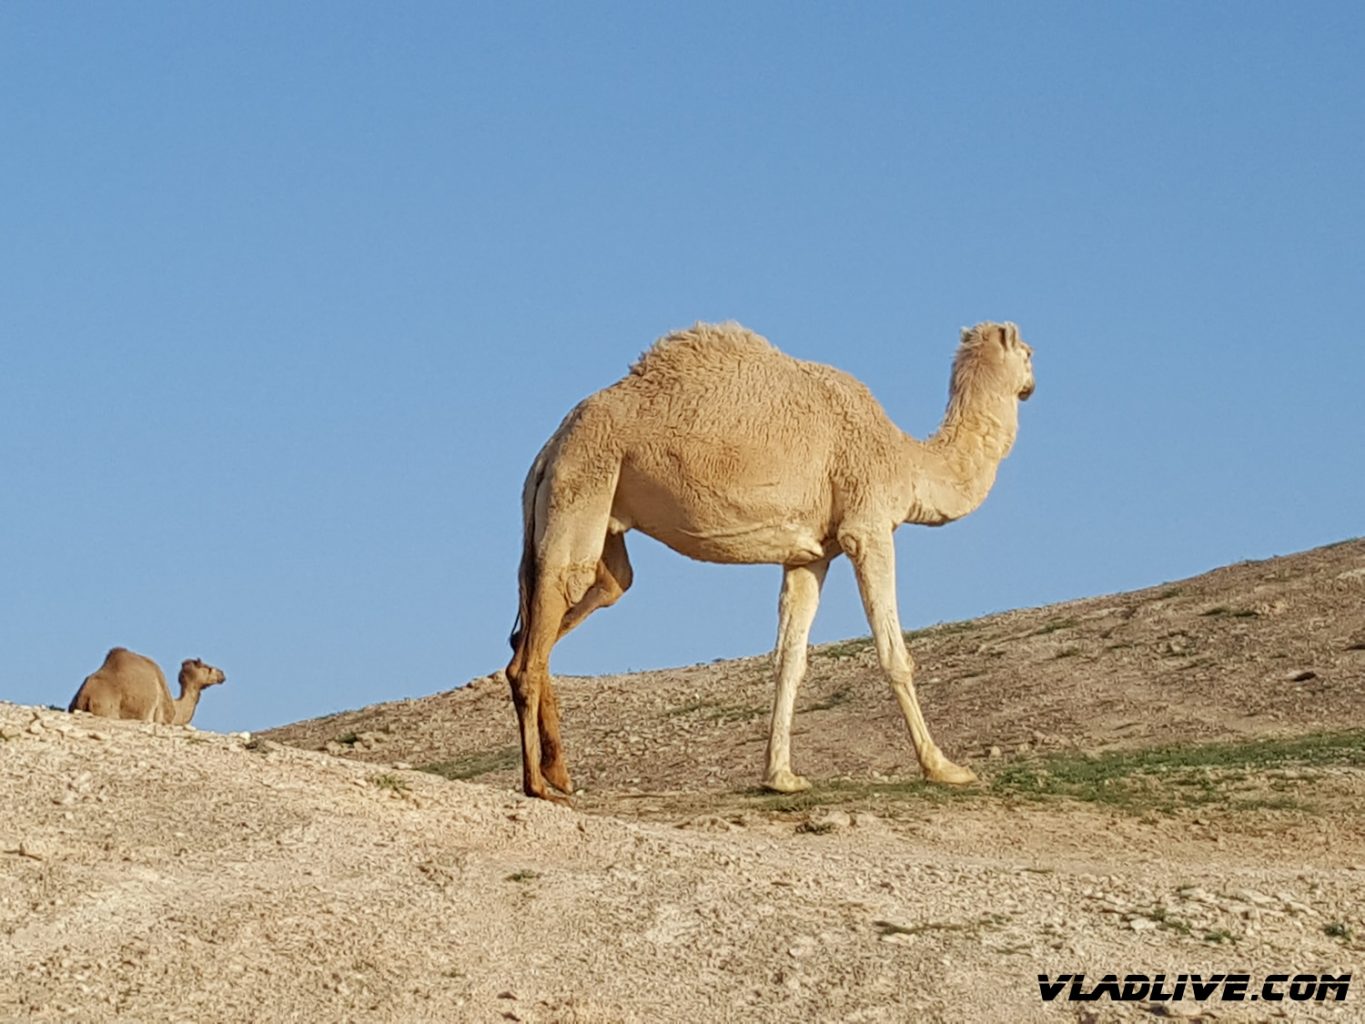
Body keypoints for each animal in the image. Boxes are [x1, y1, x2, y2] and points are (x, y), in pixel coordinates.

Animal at [506, 320, 1034, 802]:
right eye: (1028, 352)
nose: (1031, 382)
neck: (904, 460)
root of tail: (548, 449)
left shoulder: (812, 554)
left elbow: (789, 659)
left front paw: (781, 776)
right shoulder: (868, 528)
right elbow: (893, 653)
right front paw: (944, 768)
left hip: (594, 513)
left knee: (562, 613)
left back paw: (559, 773)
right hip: (583, 483)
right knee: (546, 619)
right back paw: (537, 785)